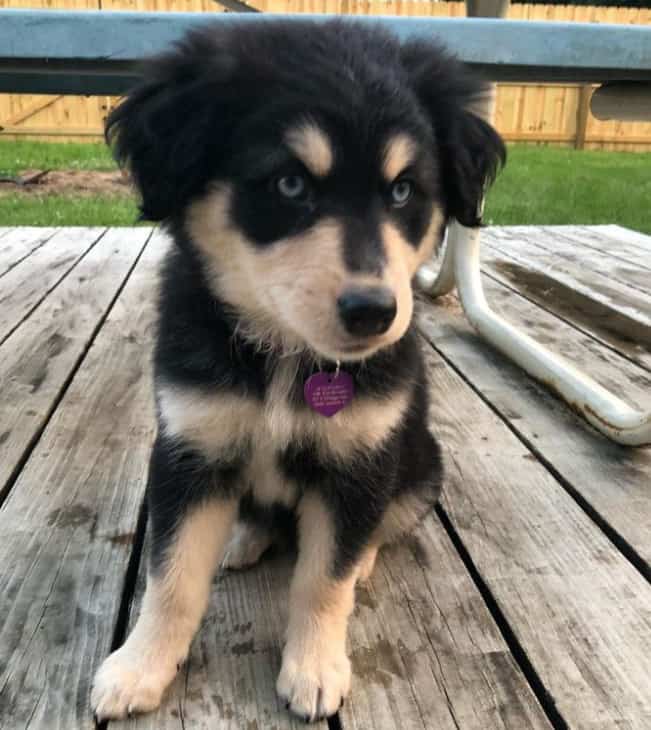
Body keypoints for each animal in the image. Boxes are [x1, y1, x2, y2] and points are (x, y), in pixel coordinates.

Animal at [90, 17, 504, 724]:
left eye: (402, 190)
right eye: (289, 184)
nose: (374, 312)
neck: (287, 353)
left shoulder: (360, 462)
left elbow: (322, 580)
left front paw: (314, 670)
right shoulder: (190, 447)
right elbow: (171, 576)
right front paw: (138, 668)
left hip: (421, 465)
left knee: (373, 533)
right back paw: (241, 538)